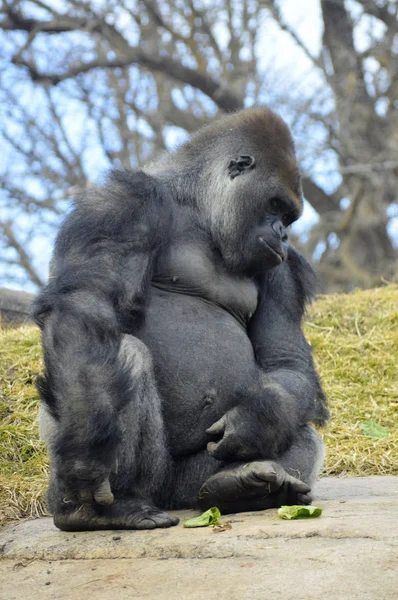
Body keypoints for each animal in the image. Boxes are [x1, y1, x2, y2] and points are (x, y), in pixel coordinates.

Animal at [34, 106, 328, 528]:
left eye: (289, 218)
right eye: (275, 206)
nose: (283, 236)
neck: (197, 206)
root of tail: (170, 499)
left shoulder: (281, 269)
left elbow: (285, 362)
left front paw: (260, 419)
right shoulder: (122, 203)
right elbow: (84, 304)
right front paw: (88, 457)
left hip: (186, 483)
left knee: (303, 438)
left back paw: (239, 486)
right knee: (123, 356)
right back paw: (105, 509)